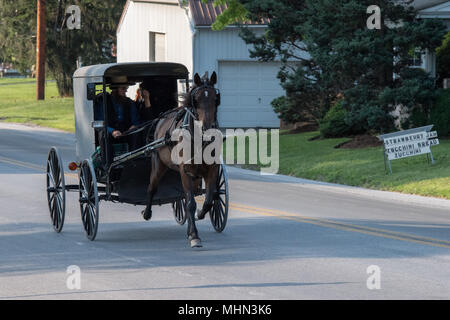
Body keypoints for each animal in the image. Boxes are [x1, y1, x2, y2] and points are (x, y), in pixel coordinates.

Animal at [142, 72, 221, 248]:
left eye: (216, 98)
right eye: (195, 100)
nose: (207, 128)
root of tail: (161, 119)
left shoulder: (212, 170)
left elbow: (209, 200)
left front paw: (199, 215)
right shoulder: (185, 171)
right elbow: (190, 202)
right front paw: (194, 235)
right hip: (159, 165)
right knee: (151, 187)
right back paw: (147, 212)